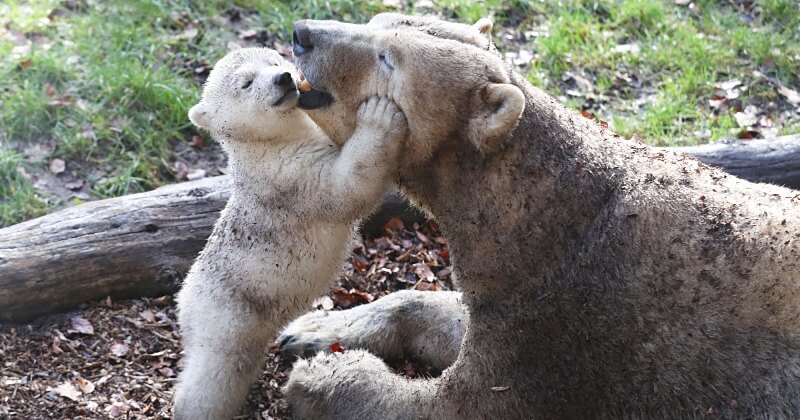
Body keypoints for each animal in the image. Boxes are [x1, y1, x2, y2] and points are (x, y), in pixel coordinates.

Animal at [282, 13, 800, 420]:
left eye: (389, 59)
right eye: (374, 22)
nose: (301, 33)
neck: (555, 214)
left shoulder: (566, 321)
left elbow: (461, 405)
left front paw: (322, 375)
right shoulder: (518, 292)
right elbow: (445, 312)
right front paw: (313, 330)